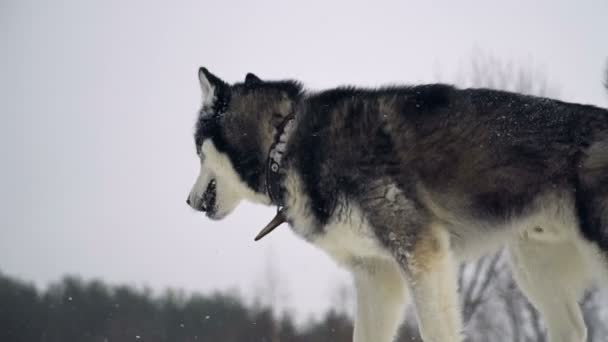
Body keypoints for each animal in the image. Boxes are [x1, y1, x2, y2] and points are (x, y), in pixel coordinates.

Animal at [188, 67, 608, 342]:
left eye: (197, 152)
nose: (189, 202)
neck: (285, 141)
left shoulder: (422, 252)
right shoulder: (378, 275)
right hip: (534, 268)